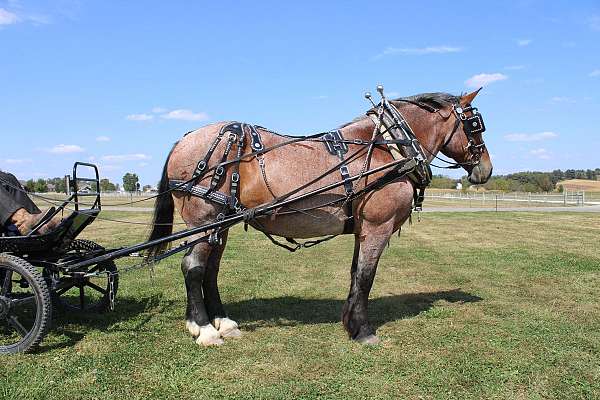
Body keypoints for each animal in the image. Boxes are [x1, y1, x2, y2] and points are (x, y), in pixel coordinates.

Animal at [146, 89, 492, 346]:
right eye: (476, 124)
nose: (485, 170)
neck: (390, 147)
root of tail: (185, 137)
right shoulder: (377, 229)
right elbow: (366, 277)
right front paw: (364, 331)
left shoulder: (363, 230)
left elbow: (355, 274)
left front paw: (349, 322)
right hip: (204, 221)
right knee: (193, 267)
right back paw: (204, 329)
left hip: (220, 224)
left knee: (210, 270)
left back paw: (221, 322)